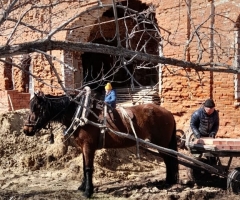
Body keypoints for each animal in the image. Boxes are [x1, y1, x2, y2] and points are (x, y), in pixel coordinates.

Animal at [23, 88, 178, 198]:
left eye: (37, 108)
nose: (26, 130)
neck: (81, 114)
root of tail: (169, 113)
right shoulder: (83, 147)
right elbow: (84, 167)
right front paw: (82, 187)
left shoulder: (88, 147)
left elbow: (88, 168)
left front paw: (88, 191)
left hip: (162, 145)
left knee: (169, 161)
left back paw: (168, 182)